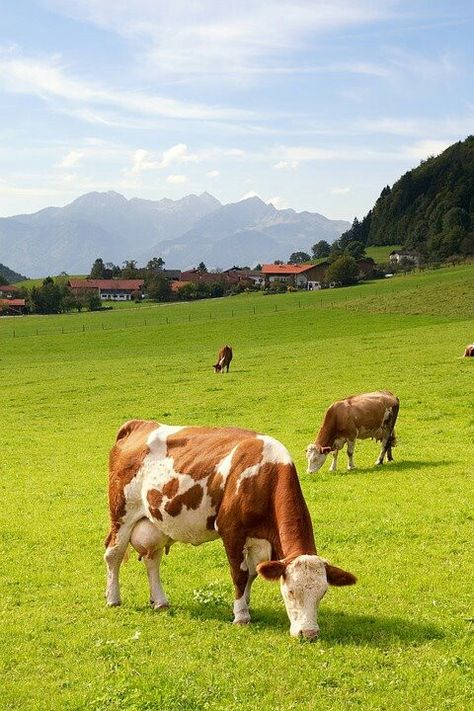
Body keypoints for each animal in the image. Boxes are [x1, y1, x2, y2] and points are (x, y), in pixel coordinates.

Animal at [104, 420, 356, 644]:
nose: (309, 633)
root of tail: (139, 424)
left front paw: (245, 603)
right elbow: (240, 574)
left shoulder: (258, 541)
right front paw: (241, 615)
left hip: (155, 522)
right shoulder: (232, 532)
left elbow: (252, 573)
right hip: (122, 514)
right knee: (113, 554)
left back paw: (160, 601)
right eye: (291, 591)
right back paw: (113, 598)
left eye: (323, 593)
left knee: (152, 559)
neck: (265, 475)